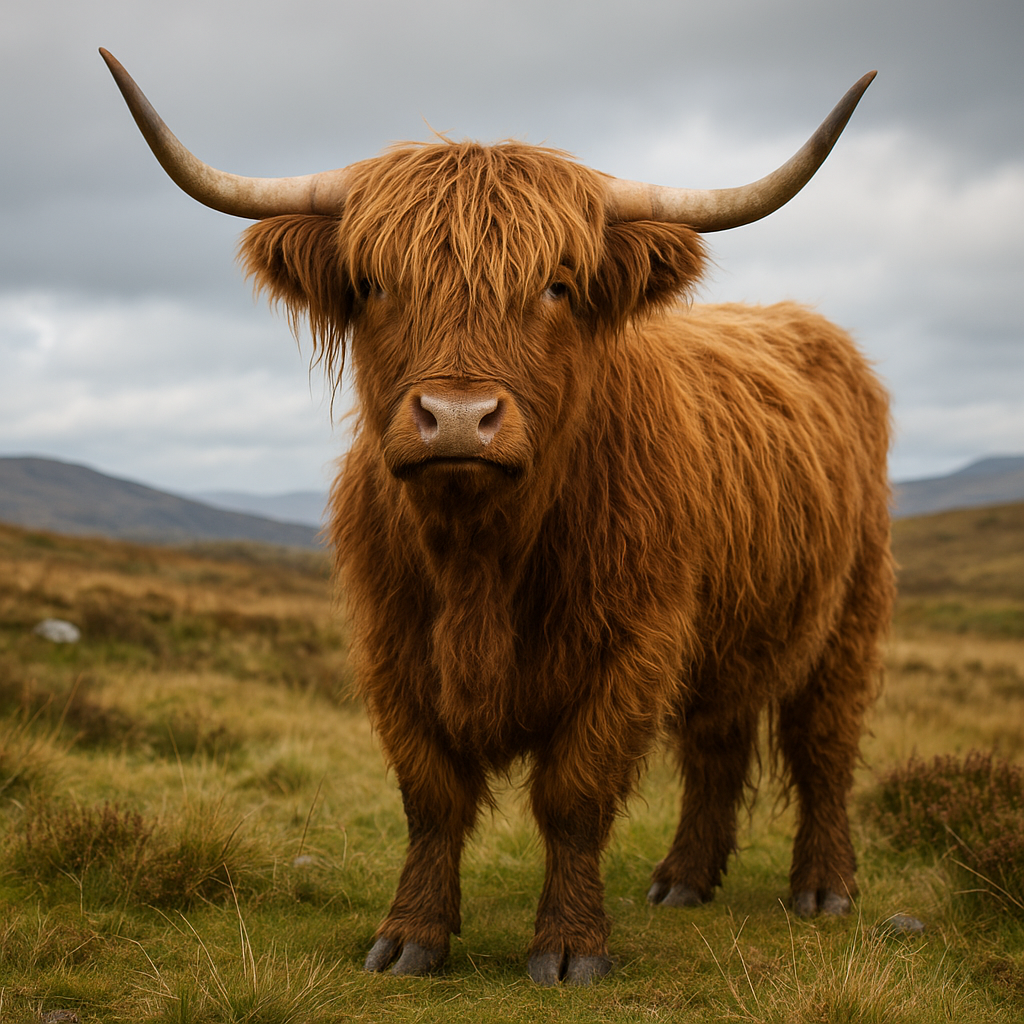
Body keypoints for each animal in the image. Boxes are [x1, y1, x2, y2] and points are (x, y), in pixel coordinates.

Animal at [101, 50, 893, 985]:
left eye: (556, 284)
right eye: (374, 284)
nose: (455, 418)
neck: (479, 554)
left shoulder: (633, 644)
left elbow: (575, 794)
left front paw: (570, 946)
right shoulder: (392, 645)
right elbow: (431, 795)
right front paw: (409, 937)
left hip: (849, 616)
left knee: (823, 744)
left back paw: (823, 888)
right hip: (733, 635)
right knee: (717, 742)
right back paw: (683, 880)